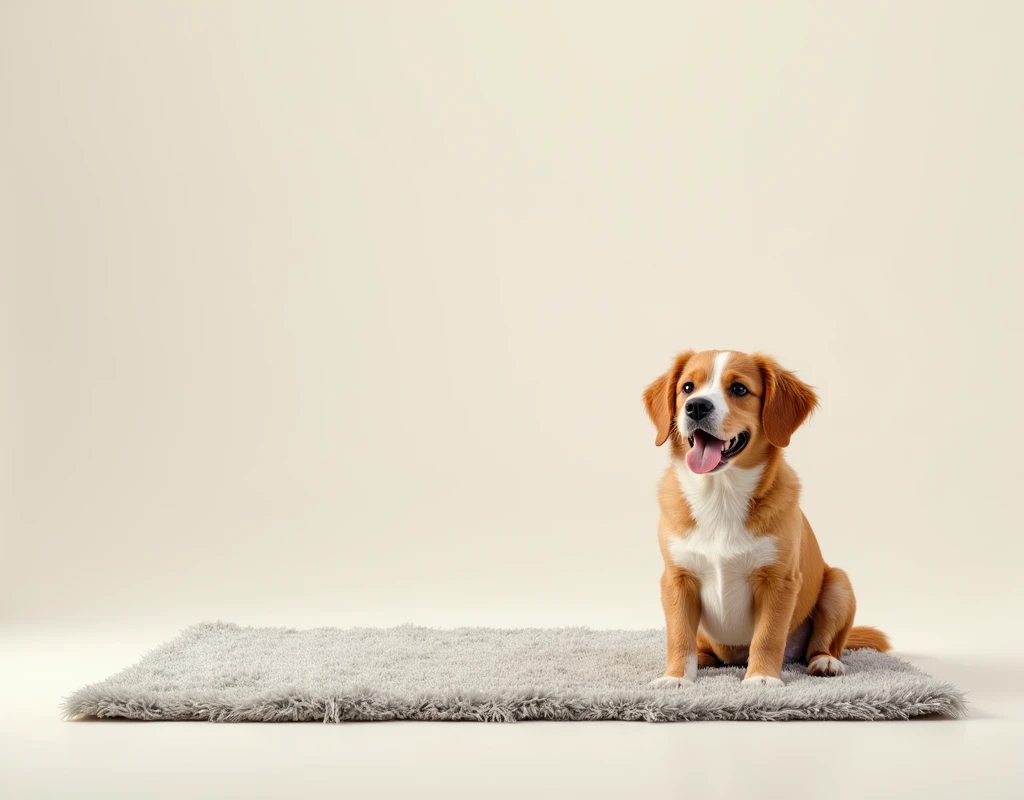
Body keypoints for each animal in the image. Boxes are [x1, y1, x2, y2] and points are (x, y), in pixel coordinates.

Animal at [638, 350, 888, 688]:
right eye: (688, 387)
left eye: (739, 389)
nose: (696, 406)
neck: (721, 496)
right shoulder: (677, 579)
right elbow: (678, 636)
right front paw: (676, 676)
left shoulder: (779, 581)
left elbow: (768, 637)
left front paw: (762, 678)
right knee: (701, 647)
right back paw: (702, 660)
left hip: (839, 585)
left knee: (823, 644)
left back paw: (825, 661)